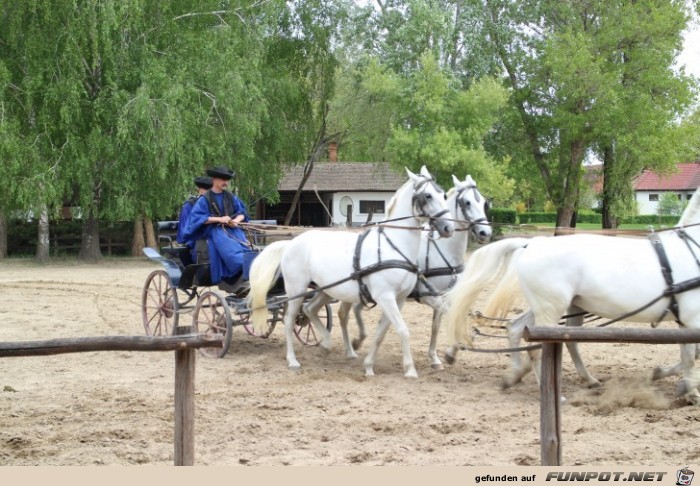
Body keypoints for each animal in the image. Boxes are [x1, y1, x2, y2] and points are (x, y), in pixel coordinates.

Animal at [249, 166, 456, 376]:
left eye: (443, 194)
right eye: (428, 195)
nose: (449, 228)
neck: (393, 246)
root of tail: (290, 243)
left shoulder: (399, 299)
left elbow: (381, 333)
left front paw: (369, 365)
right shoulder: (385, 297)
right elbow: (403, 330)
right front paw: (410, 370)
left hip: (325, 289)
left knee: (309, 309)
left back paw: (326, 344)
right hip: (296, 289)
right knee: (290, 320)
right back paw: (292, 360)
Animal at [340, 177, 492, 370]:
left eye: (484, 202)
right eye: (467, 202)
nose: (485, 232)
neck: (442, 251)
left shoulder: (444, 296)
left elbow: (437, 325)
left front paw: (438, 357)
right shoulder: (427, 296)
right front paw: (449, 352)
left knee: (356, 309)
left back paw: (358, 341)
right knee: (345, 315)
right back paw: (353, 345)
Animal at [446, 186, 700, 402]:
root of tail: (533, 244)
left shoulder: (686, 322)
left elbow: (689, 354)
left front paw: (672, 380)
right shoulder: (692, 320)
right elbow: (690, 356)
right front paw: (689, 390)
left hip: (554, 307)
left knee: (517, 329)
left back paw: (518, 375)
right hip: (551, 311)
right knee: (540, 349)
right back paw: (552, 394)